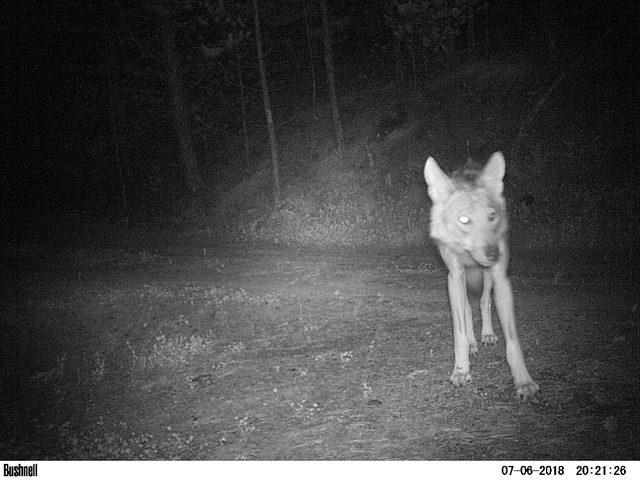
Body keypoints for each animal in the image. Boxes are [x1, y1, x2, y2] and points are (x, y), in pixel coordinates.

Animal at [424, 152, 540, 400]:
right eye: (464, 220)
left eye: (492, 215)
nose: (494, 253)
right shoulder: (454, 275)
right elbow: (459, 330)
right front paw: (461, 370)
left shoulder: (501, 277)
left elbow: (512, 340)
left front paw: (523, 381)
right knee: (468, 309)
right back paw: (472, 343)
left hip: (487, 277)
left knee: (485, 301)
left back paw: (486, 335)